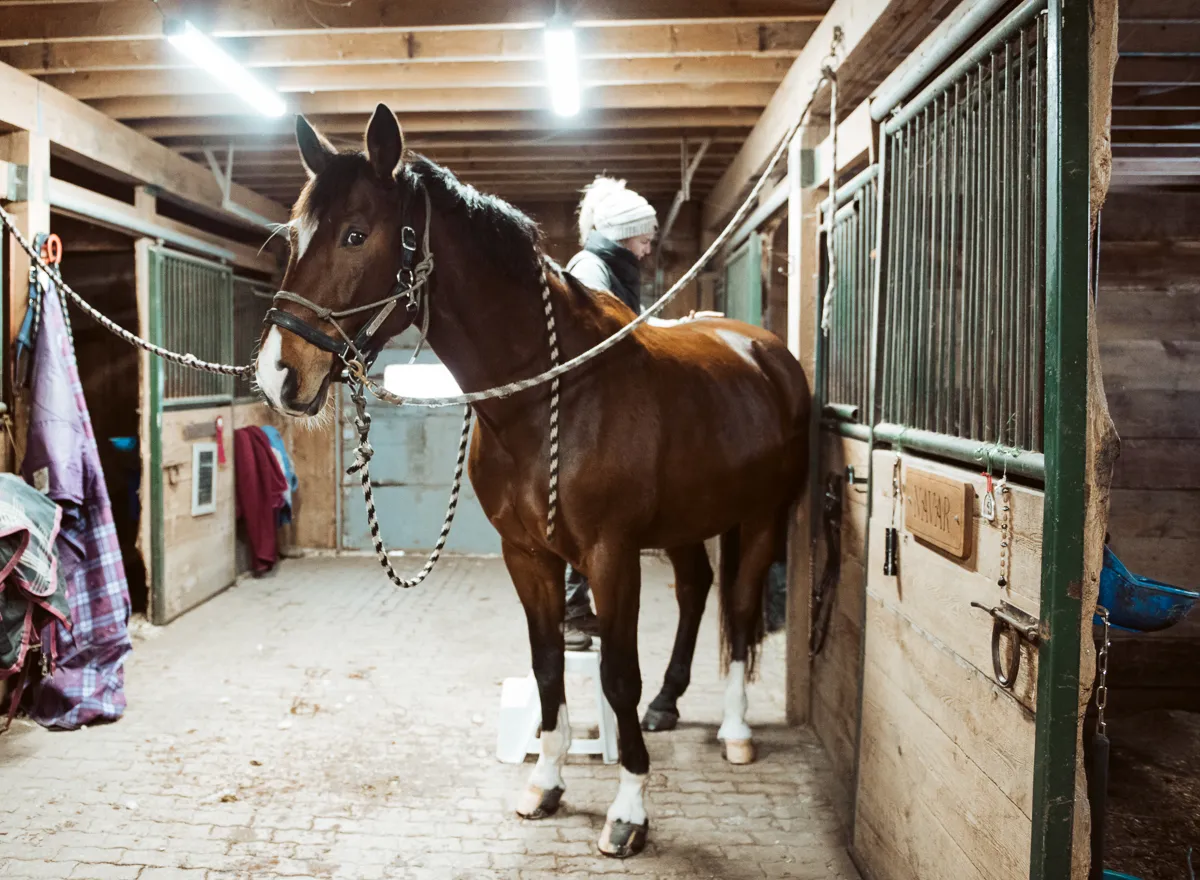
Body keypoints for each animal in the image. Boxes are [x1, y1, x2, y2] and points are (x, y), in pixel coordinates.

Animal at [255, 104, 811, 859]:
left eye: (355, 234)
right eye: (292, 236)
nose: (278, 375)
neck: (553, 396)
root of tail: (765, 352)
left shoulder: (611, 554)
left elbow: (616, 674)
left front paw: (628, 813)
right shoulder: (527, 554)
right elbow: (548, 664)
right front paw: (546, 783)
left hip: (760, 518)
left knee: (743, 610)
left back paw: (734, 730)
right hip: (687, 521)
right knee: (698, 592)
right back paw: (669, 704)